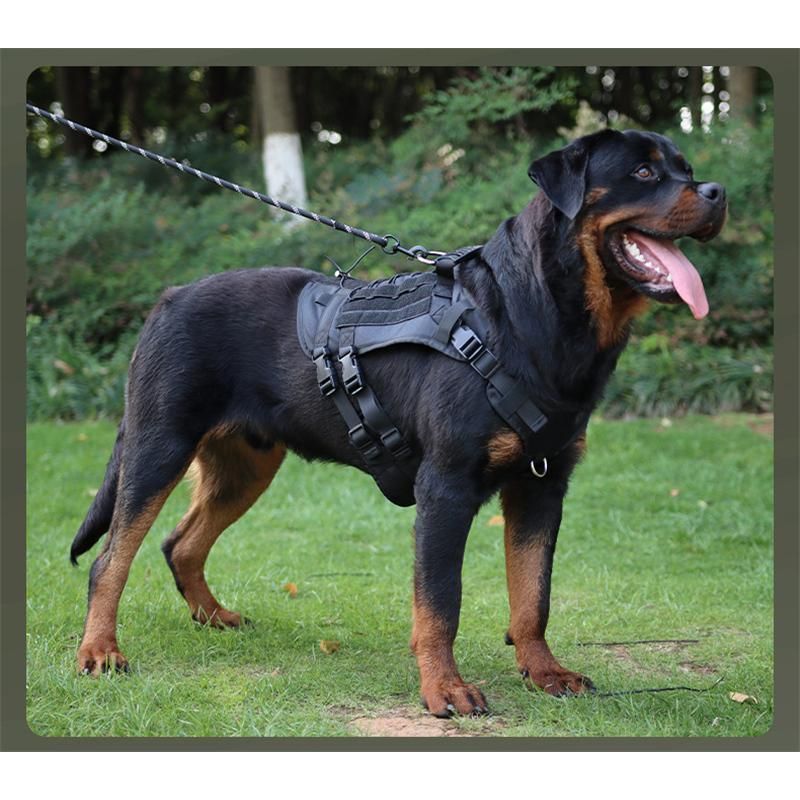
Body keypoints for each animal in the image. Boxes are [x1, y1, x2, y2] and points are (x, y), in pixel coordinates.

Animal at [70, 128, 726, 717]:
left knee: (179, 544)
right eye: (643, 172)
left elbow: (532, 595)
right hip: (159, 445)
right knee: (110, 559)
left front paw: (545, 673)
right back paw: (100, 652)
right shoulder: (447, 486)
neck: (530, 317)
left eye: (686, 167)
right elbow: (441, 602)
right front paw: (446, 690)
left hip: (246, 467)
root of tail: (169, 297)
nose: (717, 191)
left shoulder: (542, 484)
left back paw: (214, 617)